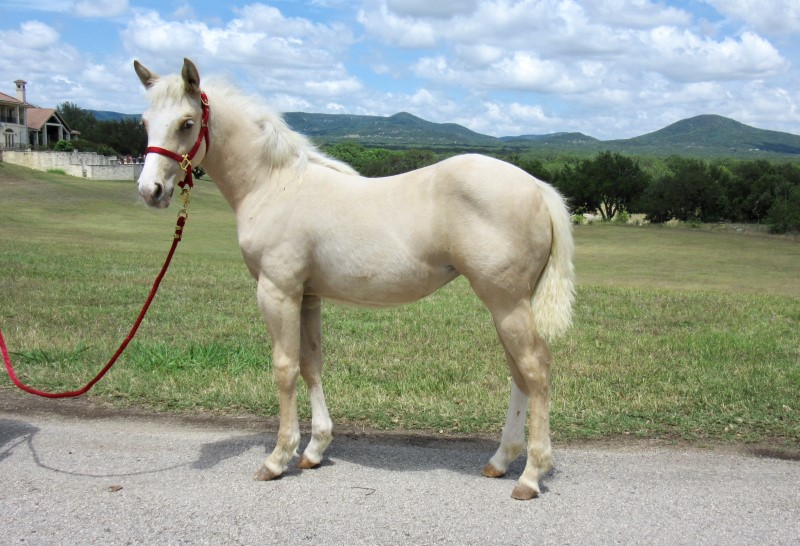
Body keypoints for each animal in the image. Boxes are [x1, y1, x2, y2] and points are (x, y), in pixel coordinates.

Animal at [136, 58, 576, 498]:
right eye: (144, 122)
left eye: (187, 123)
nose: (150, 191)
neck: (275, 185)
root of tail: (537, 186)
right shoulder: (307, 296)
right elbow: (311, 364)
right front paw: (314, 450)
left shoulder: (277, 292)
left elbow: (284, 367)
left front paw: (278, 458)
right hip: (507, 305)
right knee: (519, 371)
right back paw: (500, 461)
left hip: (506, 302)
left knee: (535, 368)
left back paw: (530, 475)